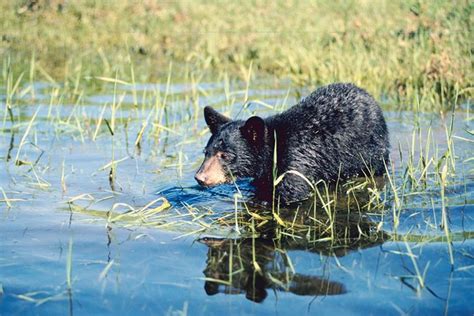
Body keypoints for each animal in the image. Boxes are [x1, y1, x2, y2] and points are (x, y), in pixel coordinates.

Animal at [193, 82, 388, 204]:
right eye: (206, 152)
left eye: (225, 155)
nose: (200, 177)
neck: (273, 151)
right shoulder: (264, 176)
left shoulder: (294, 165)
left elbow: (292, 194)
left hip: (372, 152)